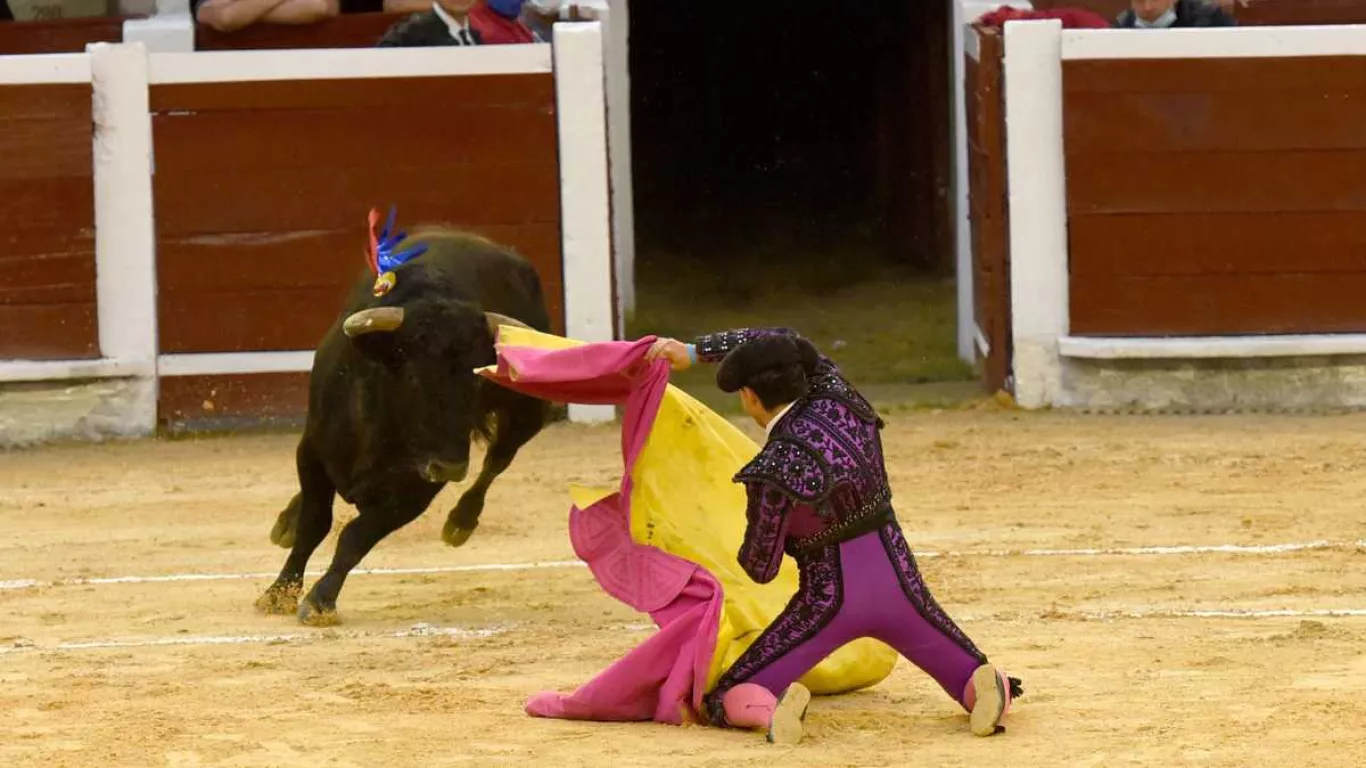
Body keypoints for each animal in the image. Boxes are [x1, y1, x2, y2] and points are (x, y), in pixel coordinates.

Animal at [254, 209, 551, 623]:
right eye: (412, 375)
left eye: (478, 379)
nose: (450, 467)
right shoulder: (312, 450)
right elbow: (315, 523)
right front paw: (279, 592)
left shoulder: (416, 490)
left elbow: (355, 538)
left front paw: (320, 600)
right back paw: (285, 522)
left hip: (526, 414)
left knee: (498, 459)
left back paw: (461, 522)